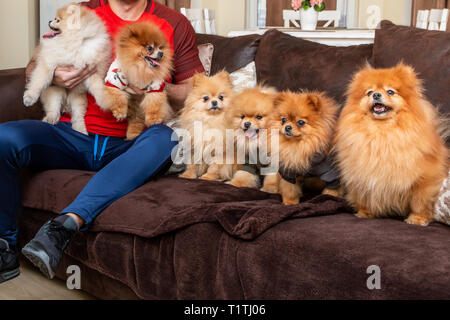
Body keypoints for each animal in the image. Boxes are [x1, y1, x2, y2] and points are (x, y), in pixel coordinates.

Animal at [23, 3, 116, 134]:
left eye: (57, 20)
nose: (49, 21)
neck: (73, 43)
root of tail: (66, 101)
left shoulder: (91, 70)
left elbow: (97, 87)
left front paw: (104, 99)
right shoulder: (48, 63)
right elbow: (38, 81)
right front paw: (29, 97)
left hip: (77, 98)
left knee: (78, 116)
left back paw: (80, 130)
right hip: (55, 92)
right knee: (54, 108)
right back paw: (50, 118)